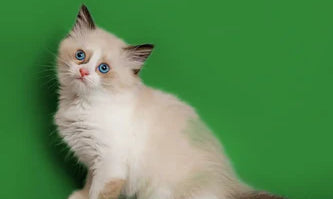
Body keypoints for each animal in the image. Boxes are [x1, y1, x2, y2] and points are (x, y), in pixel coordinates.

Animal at [53, 4, 284, 199]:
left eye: (103, 68)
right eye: (80, 55)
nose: (83, 72)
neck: (79, 104)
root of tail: (233, 185)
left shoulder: (109, 165)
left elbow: (98, 192)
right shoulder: (94, 163)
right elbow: (89, 183)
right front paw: (80, 196)